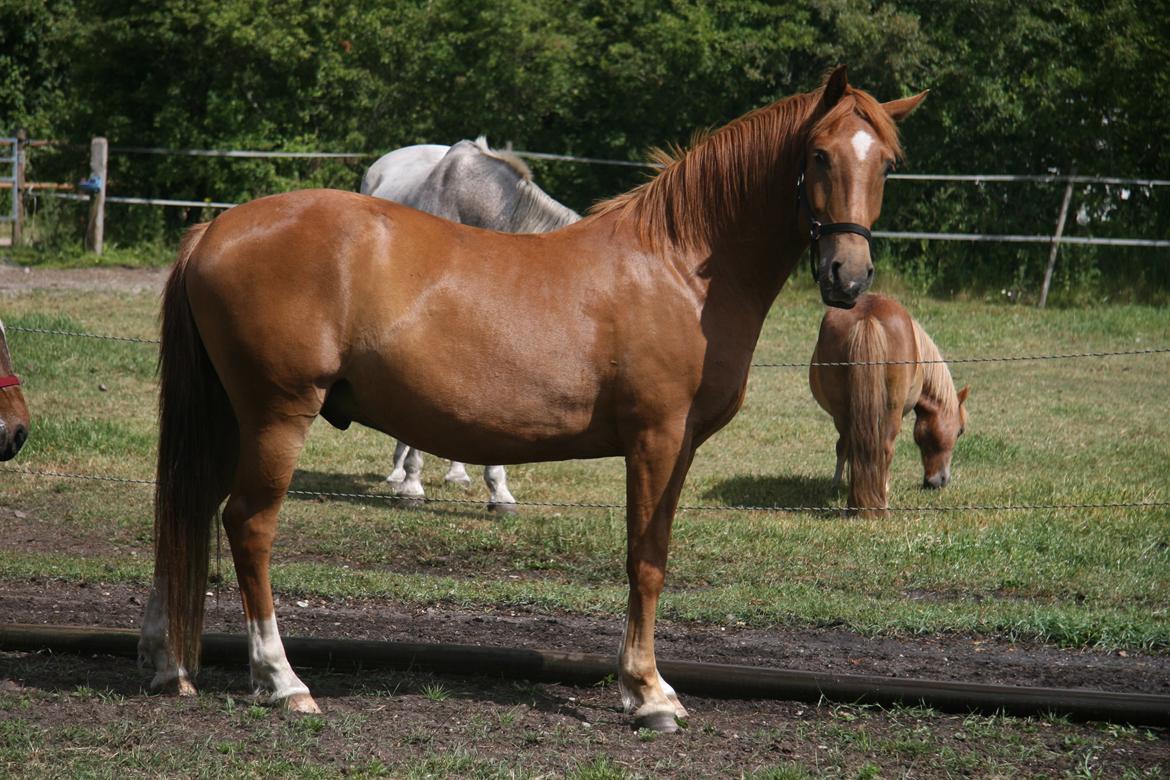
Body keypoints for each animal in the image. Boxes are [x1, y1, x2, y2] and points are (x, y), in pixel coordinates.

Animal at [814, 294, 968, 519]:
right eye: (960, 431)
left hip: (844, 412)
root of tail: (868, 316)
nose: (939, 482)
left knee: (850, 445)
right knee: (882, 448)